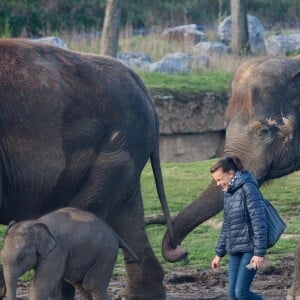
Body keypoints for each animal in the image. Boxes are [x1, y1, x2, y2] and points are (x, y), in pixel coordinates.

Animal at [0, 207, 138, 300]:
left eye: (21, 258)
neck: (35, 223)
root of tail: (115, 234)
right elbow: (54, 286)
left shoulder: (56, 251)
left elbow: (42, 284)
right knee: (81, 286)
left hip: (107, 254)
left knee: (93, 285)